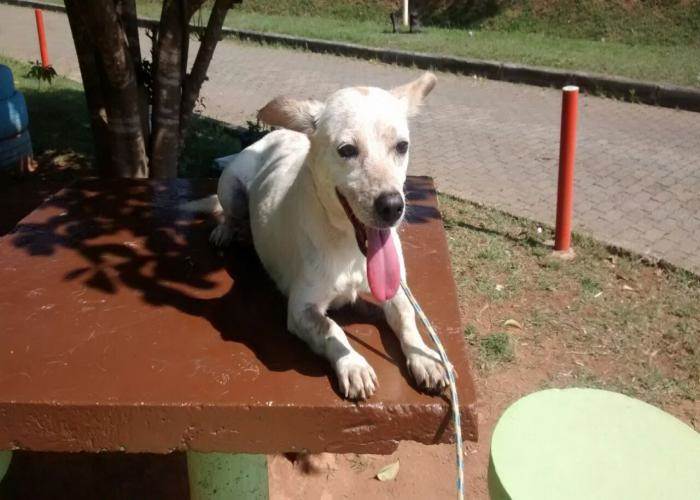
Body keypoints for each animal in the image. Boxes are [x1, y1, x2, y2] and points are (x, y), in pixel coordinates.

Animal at [208, 72, 448, 400]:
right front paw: (354, 365)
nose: (392, 206)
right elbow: (332, 329)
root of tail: (280, 134)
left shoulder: (396, 290)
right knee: (228, 211)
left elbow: (407, 318)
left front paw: (424, 357)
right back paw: (225, 230)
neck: (350, 251)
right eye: (346, 150)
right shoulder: (301, 308)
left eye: (402, 146)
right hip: (230, 188)